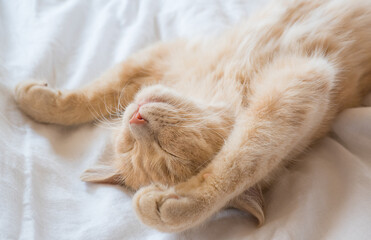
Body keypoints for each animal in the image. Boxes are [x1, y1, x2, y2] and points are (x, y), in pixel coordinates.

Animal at [13, 0, 371, 233]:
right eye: (129, 145)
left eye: (169, 151)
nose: (136, 119)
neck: (219, 82)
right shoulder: (164, 56)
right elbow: (95, 94)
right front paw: (39, 101)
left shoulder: (301, 85)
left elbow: (242, 161)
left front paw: (180, 208)